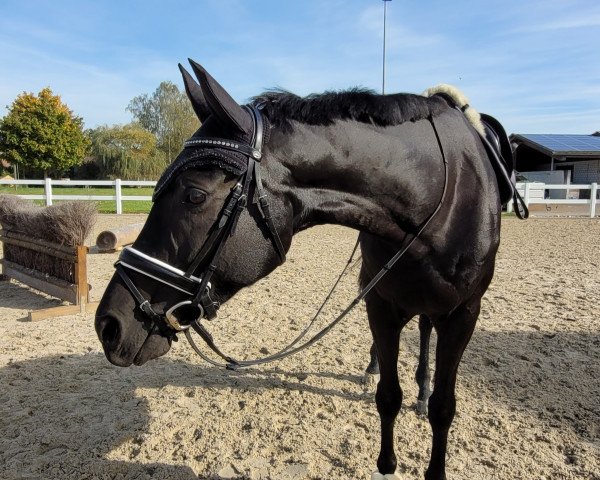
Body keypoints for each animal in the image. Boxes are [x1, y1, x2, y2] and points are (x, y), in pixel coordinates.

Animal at [96, 61, 504, 480]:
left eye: (194, 194)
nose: (108, 325)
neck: (436, 195)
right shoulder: (380, 305)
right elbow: (388, 397)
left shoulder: (463, 315)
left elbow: (443, 407)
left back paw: (422, 390)